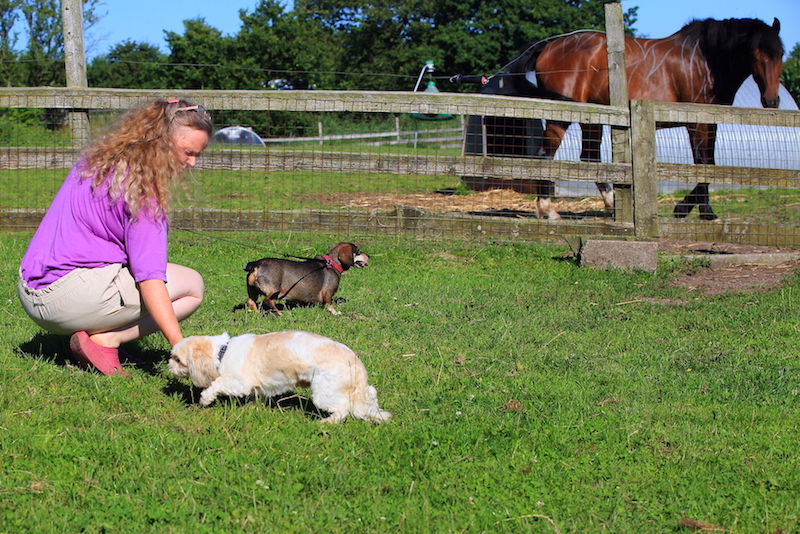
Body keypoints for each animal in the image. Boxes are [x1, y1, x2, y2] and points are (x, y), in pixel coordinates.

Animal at [504, 17, 784, 221]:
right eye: (756, 53)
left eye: (780, 54)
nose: (771, 101)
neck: (704, 61)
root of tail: (550, 46)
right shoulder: (695, 124)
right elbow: (701, 163)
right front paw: (689, 210)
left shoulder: (711, 123)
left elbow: (711, 164)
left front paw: (699, 210)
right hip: (563, 118)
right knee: (545, 156)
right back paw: (547, 210)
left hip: (592, 118)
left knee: (590, 158)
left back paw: (613, 206)